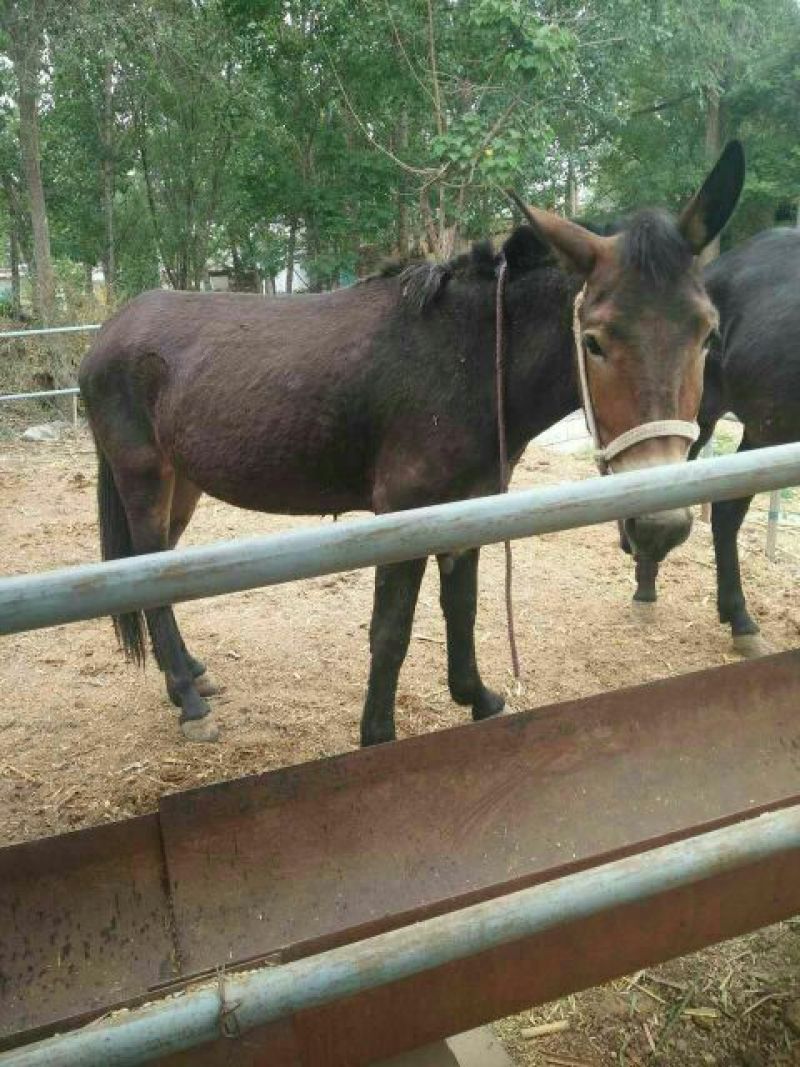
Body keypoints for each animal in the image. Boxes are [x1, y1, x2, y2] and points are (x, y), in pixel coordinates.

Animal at [79, 142, 745, 743]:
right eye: (594, 341)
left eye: (708, 334)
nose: (660, 526)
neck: (469, 360)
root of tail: (109, 328)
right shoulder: (401, 514)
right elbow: (391, 631)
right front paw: (378, 736)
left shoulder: (468, 507)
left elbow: (463, 606)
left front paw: (477, 697)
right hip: (144, 476)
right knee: (146, 569)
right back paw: (189, 702)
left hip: (183, 482)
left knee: (161, 570)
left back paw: (188, 677)